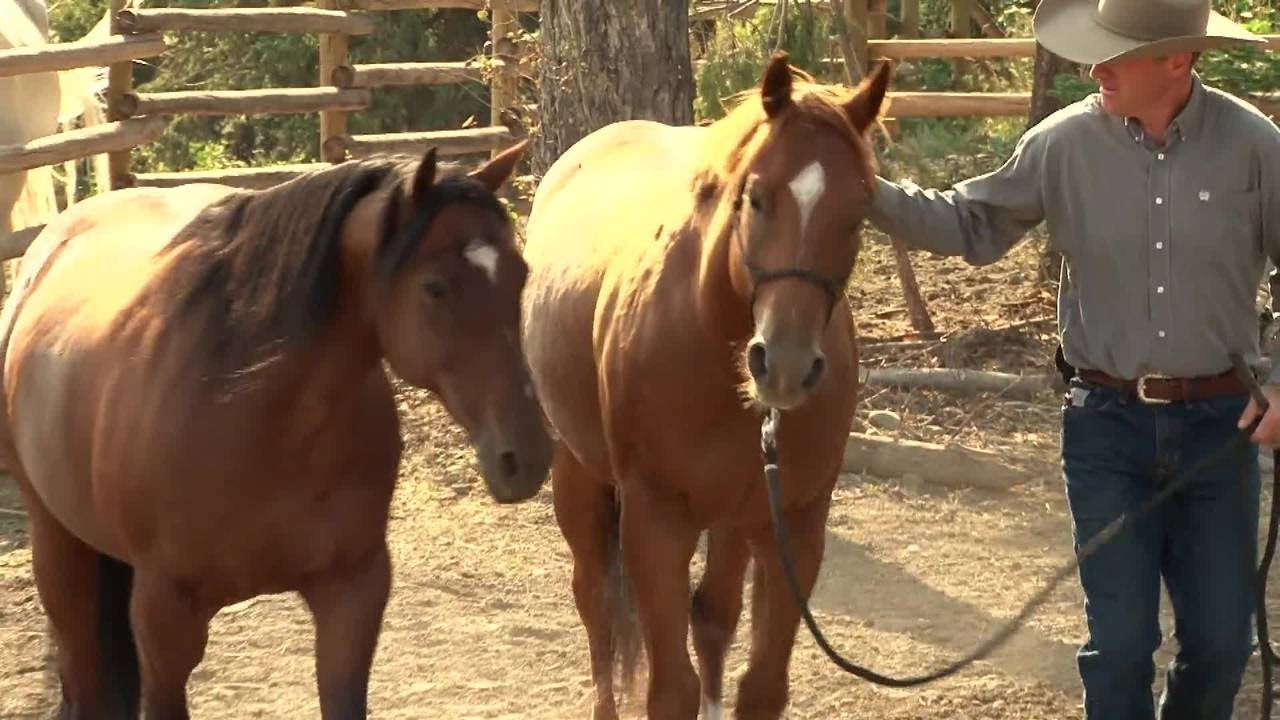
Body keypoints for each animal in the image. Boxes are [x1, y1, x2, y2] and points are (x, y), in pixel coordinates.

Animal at [0, 140, 553, 719]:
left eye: (520, 275)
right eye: (434, 287)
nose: (525, 457)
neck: (256, 419)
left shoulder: (352, 594)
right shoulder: (164, 617)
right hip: (59, 551)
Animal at [521, 52, 890, 719]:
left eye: (858, 214)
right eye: (756, 197)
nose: (785, 364)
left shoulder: (792, 524)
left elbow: (760, 683)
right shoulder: (656, 523)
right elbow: (671, 688)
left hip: (732, 517)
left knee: (712, 614)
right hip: (577, 472)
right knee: (596, 602)